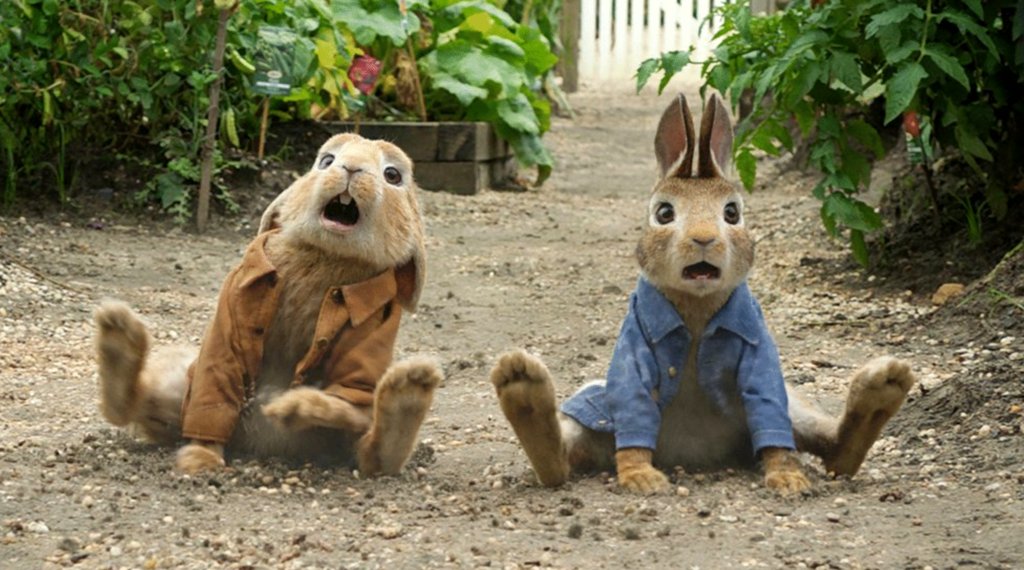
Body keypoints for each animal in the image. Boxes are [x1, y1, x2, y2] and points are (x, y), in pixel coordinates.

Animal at [93, 133, 441, 476]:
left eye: (393, 175)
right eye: (326, 160)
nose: (351, 167)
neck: (330, 255)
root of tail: (258, 444)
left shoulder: (374, 326)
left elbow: (349, 386)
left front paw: (295, 406)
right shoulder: (228, 322)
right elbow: (216, 387)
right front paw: (201, 460)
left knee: (373, 454)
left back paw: (407, 388)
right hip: (182, 388)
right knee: (138, 406)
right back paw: (118, 332)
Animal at [491, 93, 916, 495]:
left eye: (732, 213)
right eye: (664, 213)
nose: (703, 239)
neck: (696, 308)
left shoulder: (761, 358)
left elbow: (768, 410)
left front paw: (788, 479)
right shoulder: (634, 350)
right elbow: (634, 405)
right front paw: (641, 478)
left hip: (794, 407)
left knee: (833, 449)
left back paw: (885, 386)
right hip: (592, 413)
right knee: (563, 458)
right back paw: (521, 384)